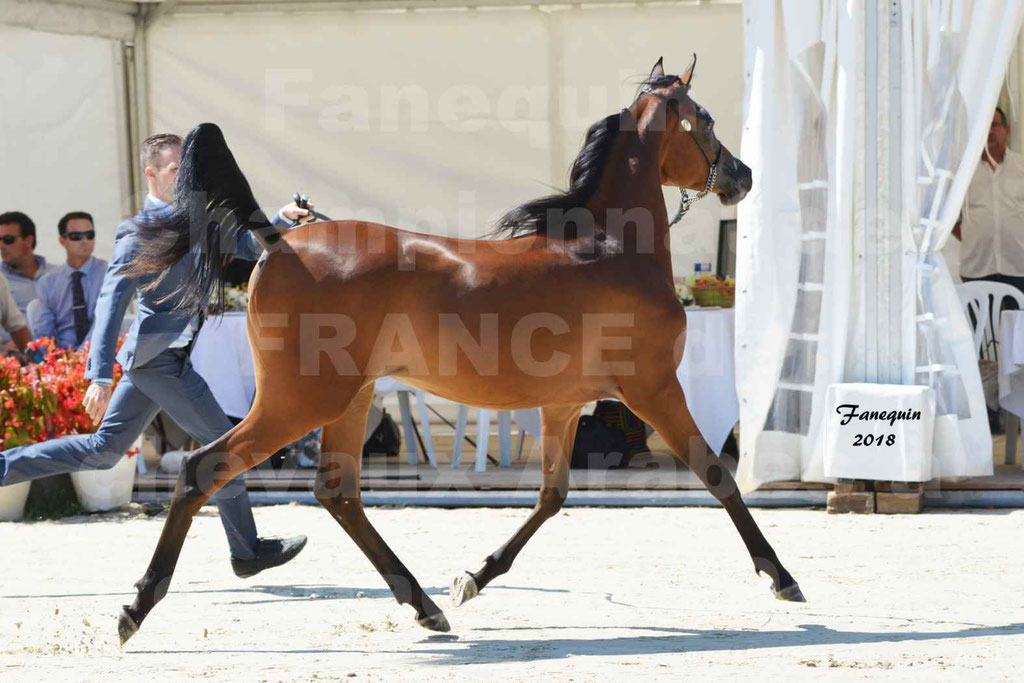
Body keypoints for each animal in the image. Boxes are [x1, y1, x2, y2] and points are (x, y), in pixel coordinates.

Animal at [116, 56, 802, 643]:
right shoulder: (654, 387)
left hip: (348, 400)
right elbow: (717, 474)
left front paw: (474, 577)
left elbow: (552, 496)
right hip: (299, 401)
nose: (741, 176)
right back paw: (137, 607)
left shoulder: (563, 404)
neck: (608, 248)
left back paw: (425, 605)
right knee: (204, 468)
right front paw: (782, 578)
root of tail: (278, 242)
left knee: (337, 492)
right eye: (705, 118)